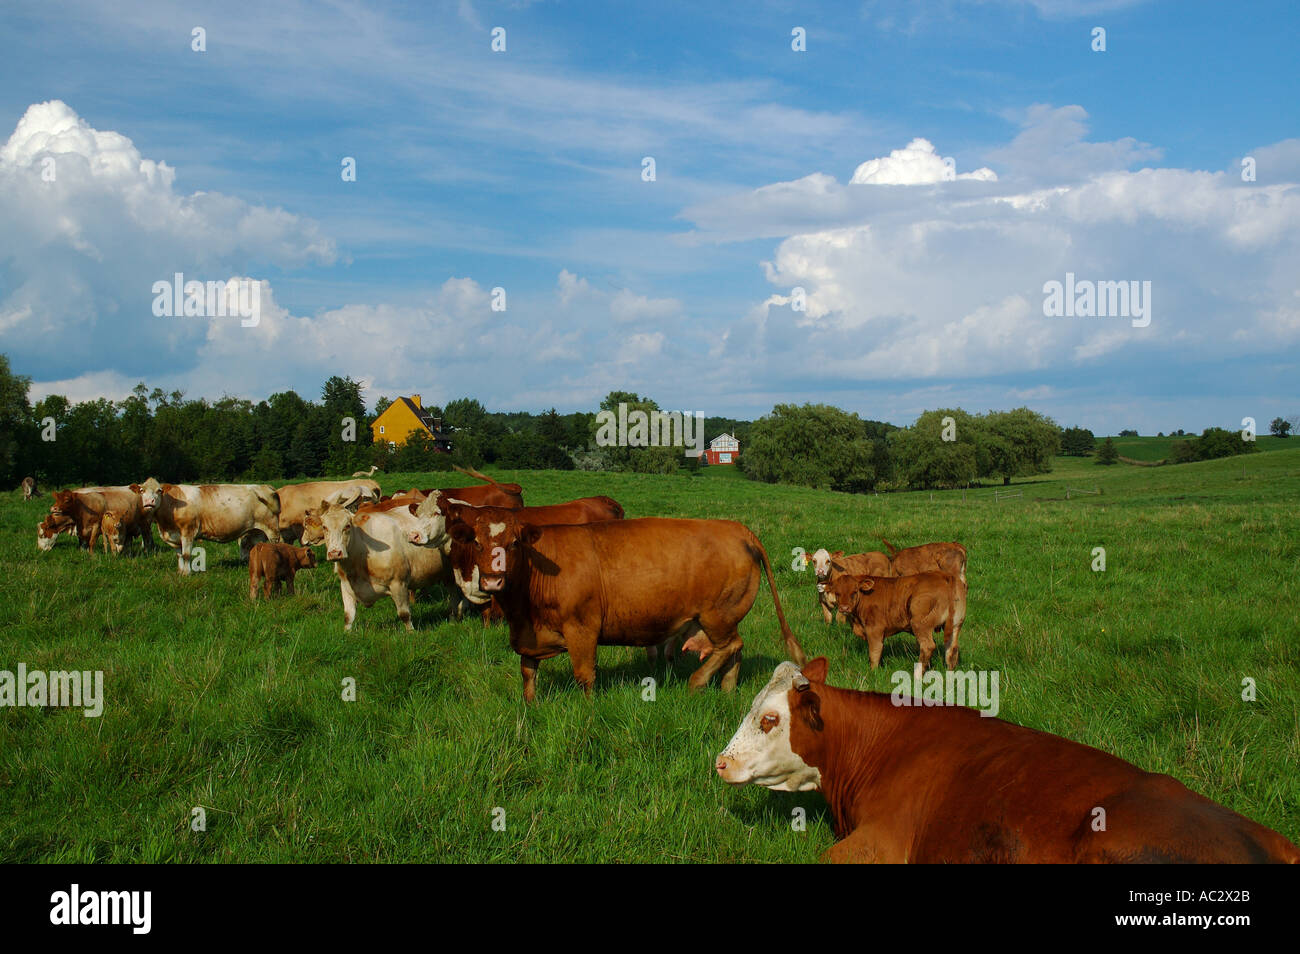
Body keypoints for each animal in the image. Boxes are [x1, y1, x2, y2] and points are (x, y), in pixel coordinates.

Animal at [140, 478, 282, 574]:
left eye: (159, 491)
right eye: (142, 491)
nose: (149, 502)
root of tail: (266, 486)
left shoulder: (188, 531)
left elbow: (186, 554)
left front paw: (186, 574)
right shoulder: (174, 536)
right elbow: (179, 555)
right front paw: (180, 572)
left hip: (272, 529)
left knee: (277, 544)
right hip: (256, 532)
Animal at [317, 496, 470, 631]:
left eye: (347, 526)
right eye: (324, 527)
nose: (335, 553)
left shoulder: (399, 583)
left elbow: (404, 614)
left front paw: (411, 633)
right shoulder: (346, 586)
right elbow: (348, 617)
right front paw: (347, 634)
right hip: (448, 575)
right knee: (454, 595)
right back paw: (453, 618)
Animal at [447, 514, 806, 701]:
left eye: (513, 543)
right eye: (477, 542)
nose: (493, 581)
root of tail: (736, 528)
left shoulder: (582, 628)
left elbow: (584, 675)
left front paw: (587, 710)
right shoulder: (528, 636)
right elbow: (527, 672)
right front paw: (530, 706)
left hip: (716, 615)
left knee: (730, 646)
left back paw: (698, 682)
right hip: (725, 617)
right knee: (733, 649)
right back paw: (727, 689)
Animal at [821, 571, 967, 675]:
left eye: (854, 592)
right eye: (837, 593)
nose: (844, 608)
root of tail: (945, 576)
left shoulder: (874, 629)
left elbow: (875, 651)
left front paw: (873, 671)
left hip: (920, 624)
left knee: (928, 646)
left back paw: (917, 675)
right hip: (955, 624)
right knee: (952, 649)